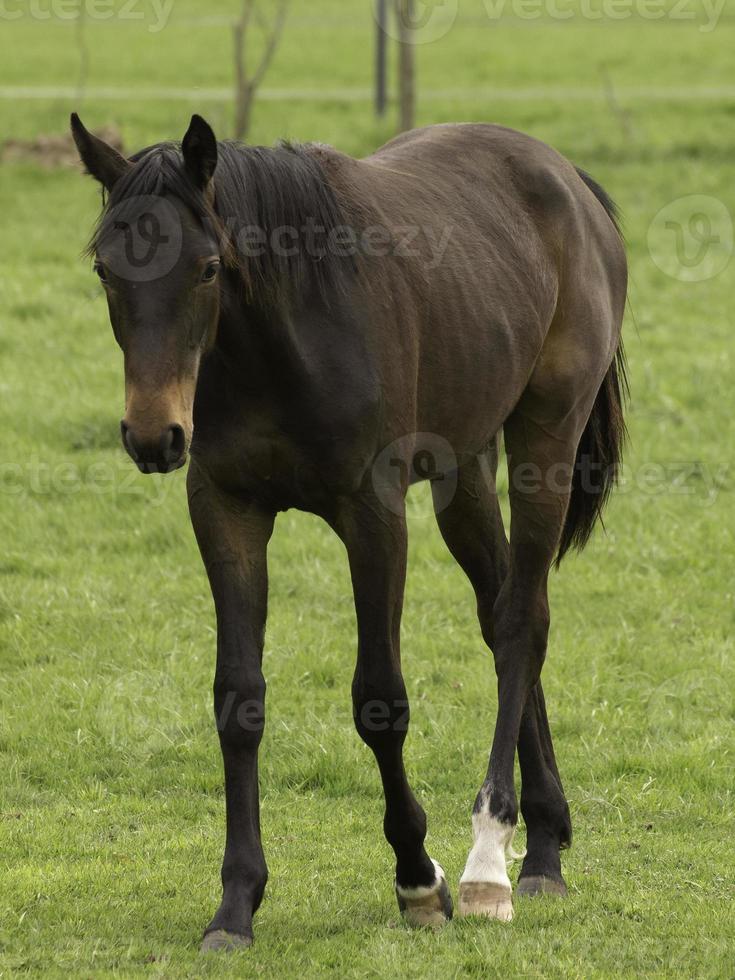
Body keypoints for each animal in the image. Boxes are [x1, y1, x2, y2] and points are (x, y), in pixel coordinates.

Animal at [73, 113, 628, 948]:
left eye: (206, 268)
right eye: (106, 269)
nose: (152, 435)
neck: (280, 338)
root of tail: (567, 180)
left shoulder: (373, 515)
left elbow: (379, 701)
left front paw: (418, 880)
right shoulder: (226, 509)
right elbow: (237, 699)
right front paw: (236, 902)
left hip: (546, 440)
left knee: (522, 622)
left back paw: (490, 865)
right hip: (465, 469)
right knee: (500, 613)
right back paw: (544, 844)